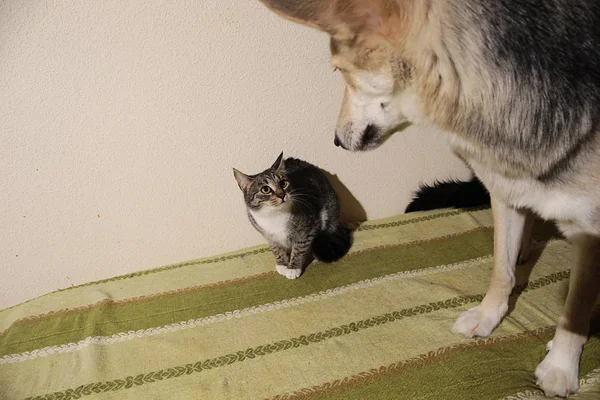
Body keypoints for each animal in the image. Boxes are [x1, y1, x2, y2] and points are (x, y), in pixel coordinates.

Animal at [233, 152, 352, 280]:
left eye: (283, 183)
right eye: (265, 189)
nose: (282, 195)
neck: (274, 214)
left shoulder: (310, 226)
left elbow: (299, 248)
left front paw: (293, 268)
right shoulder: (268, 234)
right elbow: (276, 248)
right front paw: (282, 264)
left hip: (329, 211)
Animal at [255, 0, 600, 396]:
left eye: (340, 70)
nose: (336, 142)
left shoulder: (590, 232)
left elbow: (574, 308)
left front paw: (560, 365)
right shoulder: (503, 193)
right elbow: (501, 270)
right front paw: (488, 316)